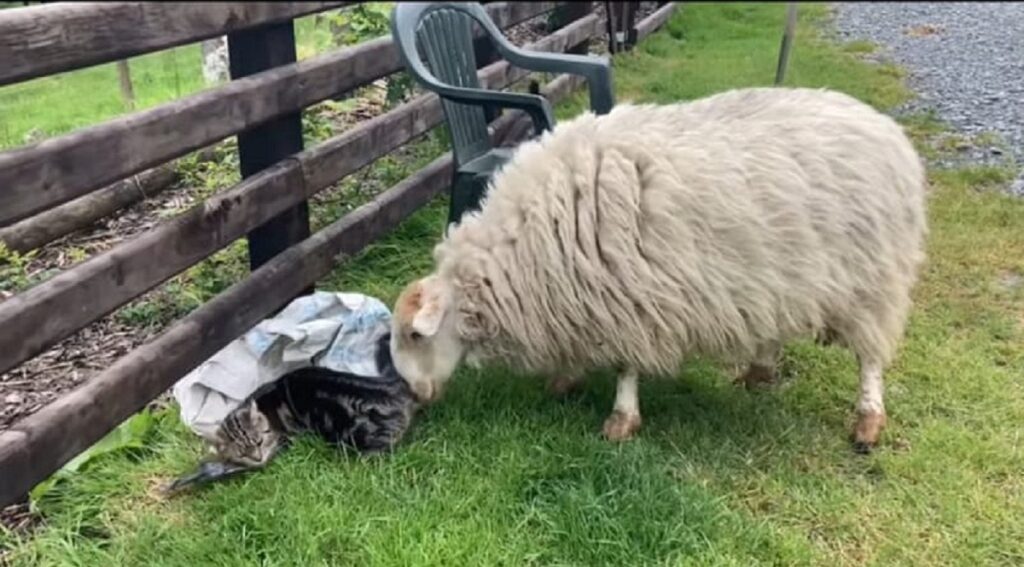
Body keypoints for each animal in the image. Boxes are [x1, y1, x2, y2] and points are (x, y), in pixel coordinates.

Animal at [389, 86, 929, 450]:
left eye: (415, 335)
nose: (415, 395)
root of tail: (885, 128)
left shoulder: (631, 298)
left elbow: (626, 366)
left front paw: (620, 421)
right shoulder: (583, 292)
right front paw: (566, 378)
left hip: (872, 279)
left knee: (870, 357)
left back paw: (867, 422)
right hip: (782, 270)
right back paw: (759, 370)